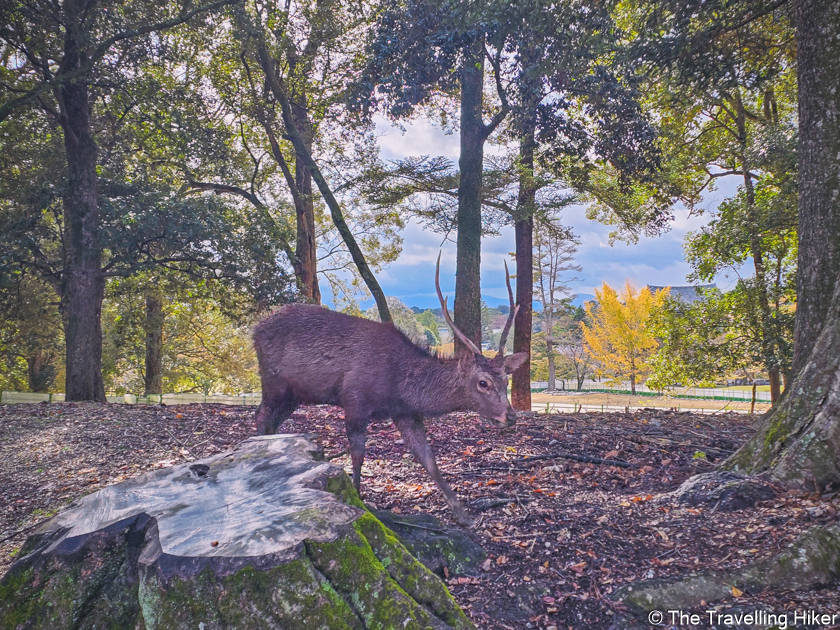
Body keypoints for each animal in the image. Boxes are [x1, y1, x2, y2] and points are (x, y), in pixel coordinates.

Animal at [251, 254, 524, 524]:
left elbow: (428, 459)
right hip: (273, 381)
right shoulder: (355, 401)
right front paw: (360, 499)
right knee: (261, 417)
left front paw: (463, 515)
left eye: (506, 380)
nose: (510, 416)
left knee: (271, 422)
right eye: (483, 382)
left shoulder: (406, 414)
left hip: (293, 395)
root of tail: (255, 329)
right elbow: (358, 454)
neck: (400, 386)